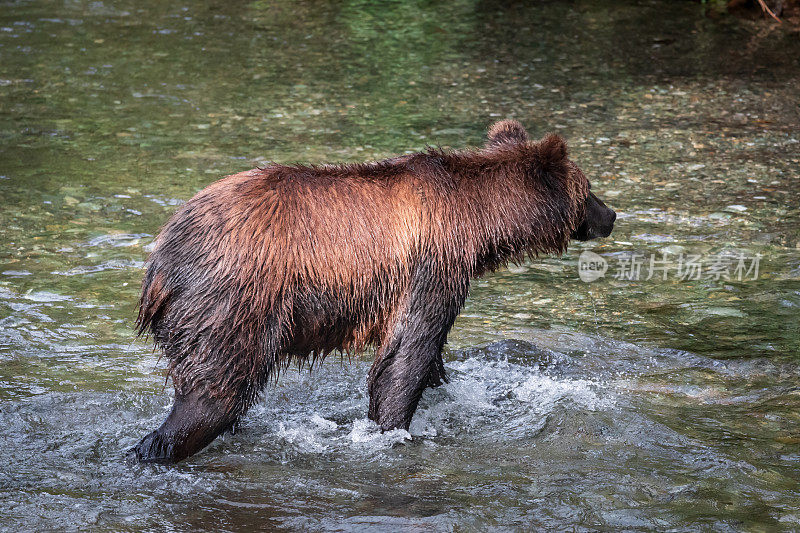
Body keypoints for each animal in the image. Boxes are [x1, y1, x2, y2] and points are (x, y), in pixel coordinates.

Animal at [130, 120, 620, 462]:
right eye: (589, 189)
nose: (612, 215)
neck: (477, 221)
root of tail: (161, 261)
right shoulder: (431, 265)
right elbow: (406, 356)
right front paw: (394, 429)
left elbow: (425, 356)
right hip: (232, 301)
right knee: (214, 391)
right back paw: (154, 447)